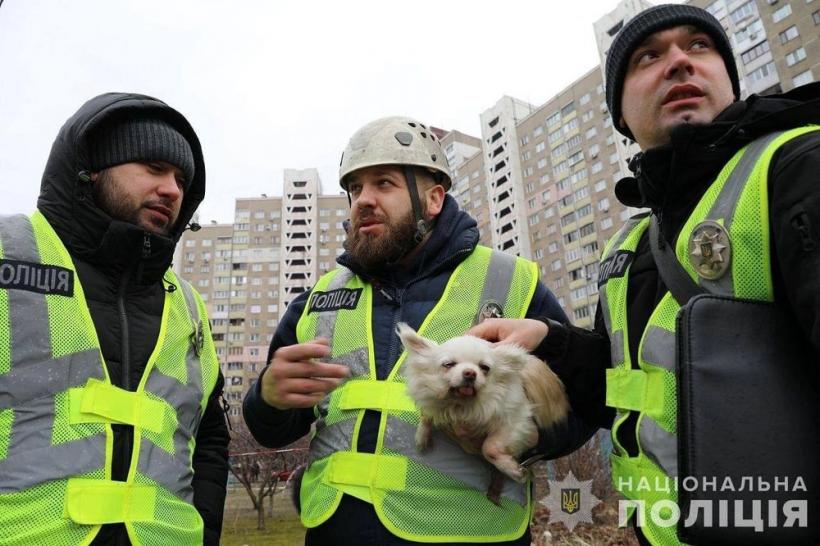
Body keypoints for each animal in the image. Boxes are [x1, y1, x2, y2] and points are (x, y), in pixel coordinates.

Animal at [398, 320, 572, 482]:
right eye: (448, 364)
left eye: (485, 368)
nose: (470, 373)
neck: (461, 405)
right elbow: (426, 415)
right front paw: (422, 436)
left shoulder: (517, 421)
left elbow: (488, 448)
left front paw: (514, 470)